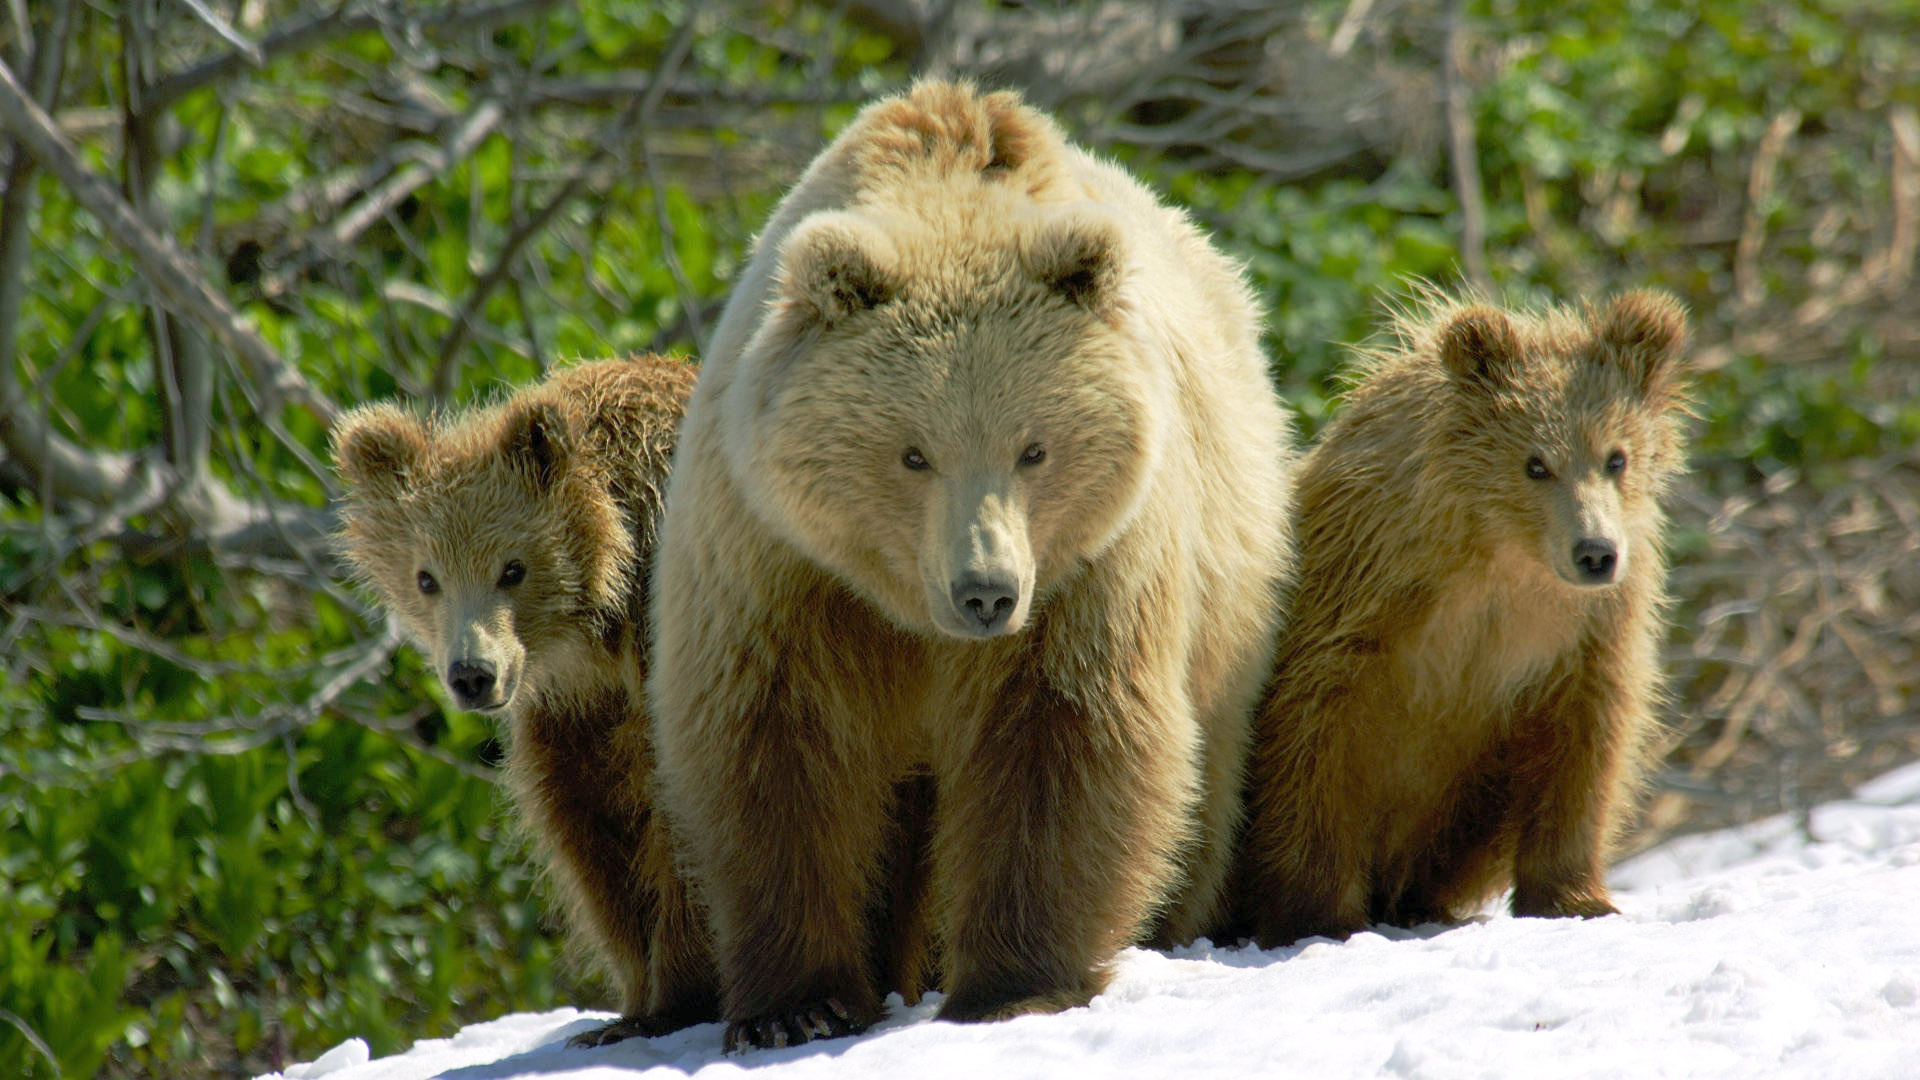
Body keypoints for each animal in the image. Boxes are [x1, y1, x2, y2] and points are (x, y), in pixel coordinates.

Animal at [330, 356, 719, 1046]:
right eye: (427, 578)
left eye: (512, 568)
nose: (472, 674)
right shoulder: (574, 712)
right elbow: (589, 826)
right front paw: (629, 1003)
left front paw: (677, 999)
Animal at [648, 80, 1298, 1052]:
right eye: (913, 453)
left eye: (1034, 447)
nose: (985, 591)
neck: (905, 607)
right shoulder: (779, 563)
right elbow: (776, 750)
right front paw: (796, 1007)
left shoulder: (1087, 570)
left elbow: (1060, 739)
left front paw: (1013, 985)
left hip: (1229, 594)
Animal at [1234, 288, 1690, 947]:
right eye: (1535, 463)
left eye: (1616, 457)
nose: (1595, 552)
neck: (1501, 557)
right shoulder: (1360, 601)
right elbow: (1311, 740)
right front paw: (1317, 915)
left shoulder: (1584, 633)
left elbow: (1585, 745)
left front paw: (1576, 897)